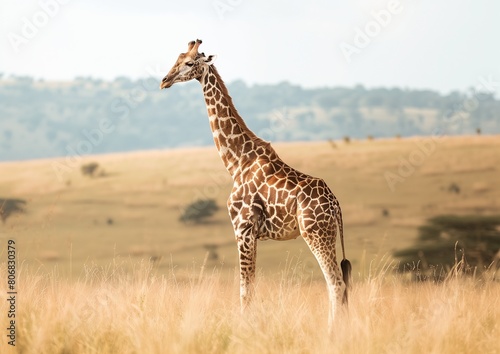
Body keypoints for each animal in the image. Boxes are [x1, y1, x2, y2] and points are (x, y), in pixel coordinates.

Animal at [160, 40, 352, 328]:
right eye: (177, 58)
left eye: (190, 63)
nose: (165, 81)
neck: (236, 161)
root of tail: (336, 206)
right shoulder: (253, 234)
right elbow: (251, 287)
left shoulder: (243, 228)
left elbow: (245, 290)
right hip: (324, 235)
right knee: (341, 285)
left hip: (317, 234)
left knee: (336, 284)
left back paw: (331, 331)